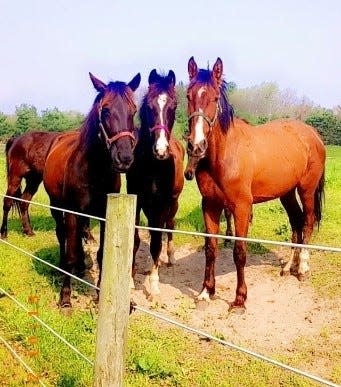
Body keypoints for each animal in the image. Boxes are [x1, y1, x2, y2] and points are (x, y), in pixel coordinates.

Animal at [43, 71, 140, 308]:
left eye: (133, 111)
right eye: (105, 110)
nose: (124, 158)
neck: (94, 170)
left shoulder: (105, 215)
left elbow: (102, 254)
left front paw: (99, 294)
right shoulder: (71, 212)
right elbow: (70, 251)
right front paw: (65, 299)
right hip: (56, 206)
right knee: (62, 235)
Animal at [125, 69, 183, 300]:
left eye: (173, 106)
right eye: (150, 107)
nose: (161, 150)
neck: (152, 166)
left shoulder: (161, 205)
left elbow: (157, 242)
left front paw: (154, 286)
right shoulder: (137, 201)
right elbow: (135, 240)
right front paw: (131, 280)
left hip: (172, 204)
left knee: (169, 227)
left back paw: (170, 257)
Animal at [183, 56, 324, 312]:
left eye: (215, 98)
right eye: (189, 96)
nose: (196, 145)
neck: (225, 154)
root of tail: (313, 134)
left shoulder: (241, 207)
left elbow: (239, 252)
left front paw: (240, 299)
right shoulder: (210, 205)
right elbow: (211, 249)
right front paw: (206, 292)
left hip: (306, 190)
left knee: (308, 222)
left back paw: (303, 268)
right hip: (287, 193)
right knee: (296, 222)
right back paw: (288, 267)